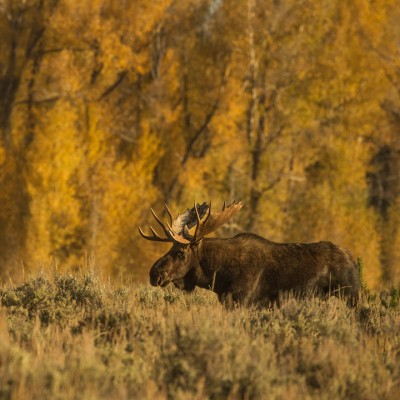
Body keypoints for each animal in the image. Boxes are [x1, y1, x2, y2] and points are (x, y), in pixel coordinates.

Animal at [139, 200, 360, 306]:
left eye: (181, 254)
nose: (154, 273)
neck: (219, 274)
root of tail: (353, 261)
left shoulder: (243, 299)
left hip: (350, 296)